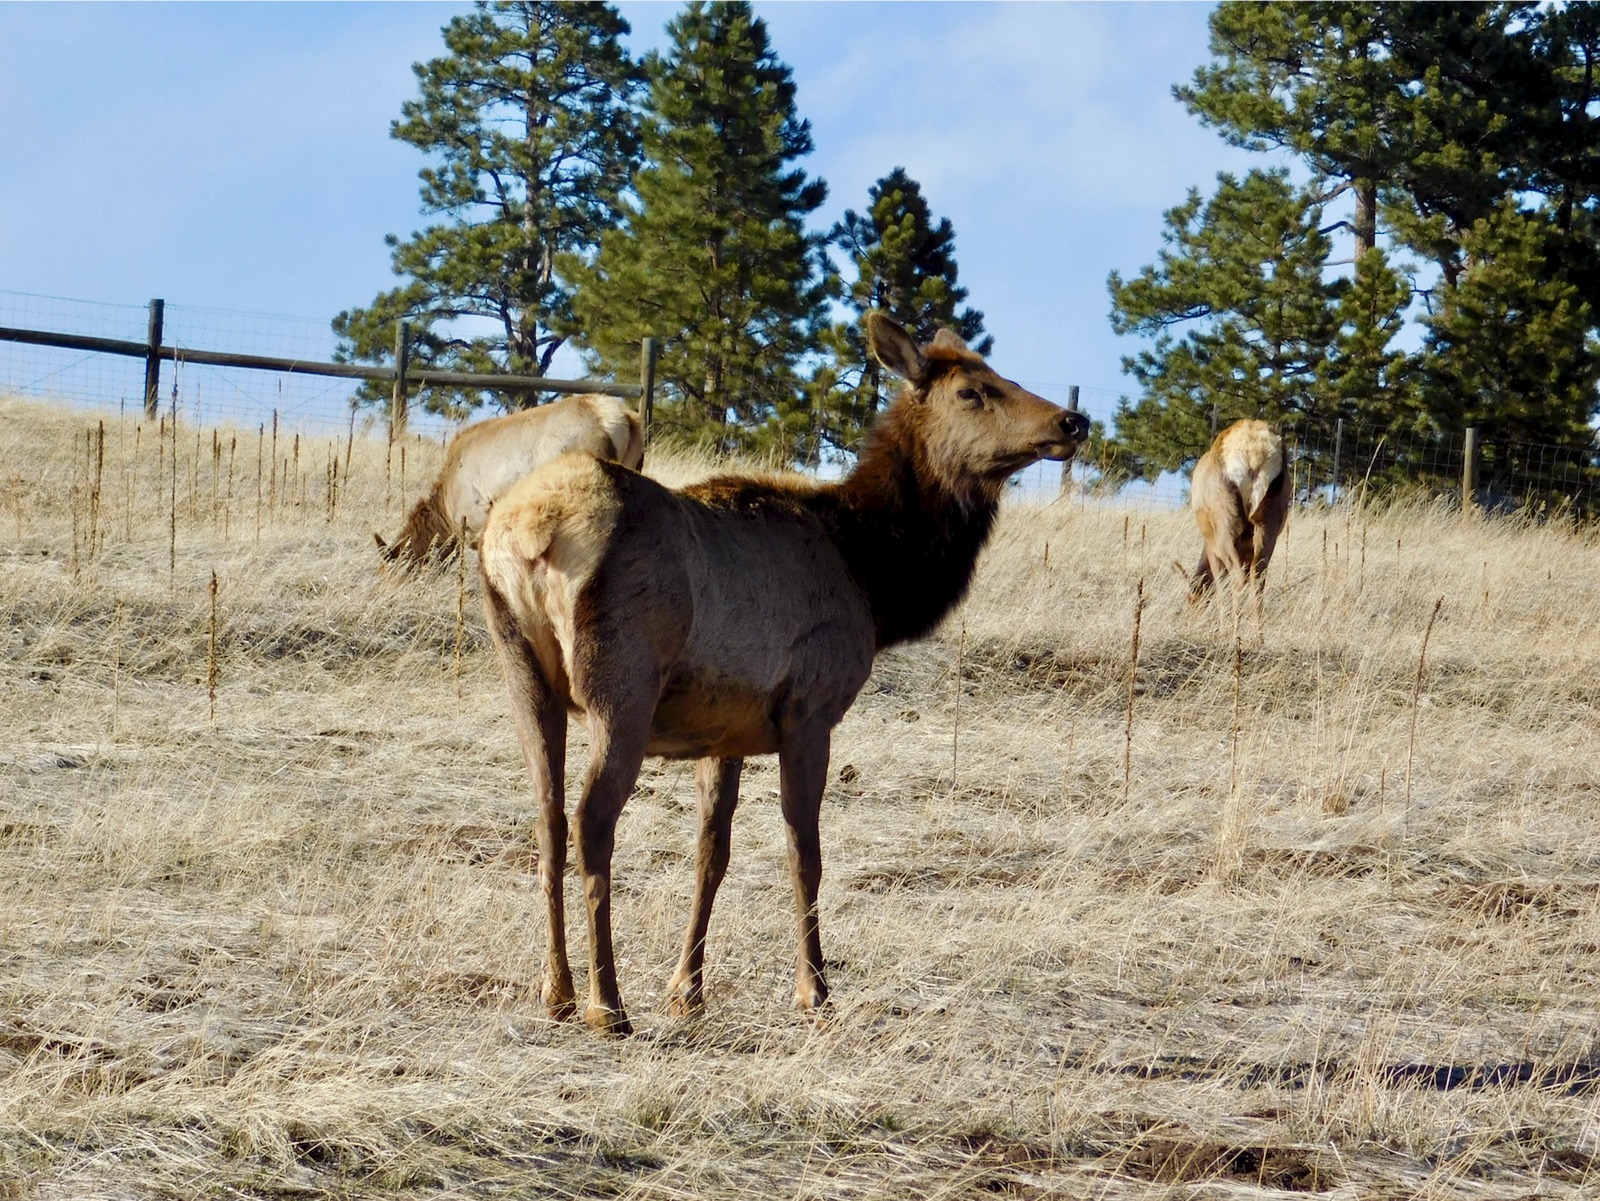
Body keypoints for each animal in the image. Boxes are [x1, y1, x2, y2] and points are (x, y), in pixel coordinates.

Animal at [477, 313, 1089, 1035]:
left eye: (1004, 374)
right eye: (973, 389)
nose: (1073, 421)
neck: (875, 580)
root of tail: (528, 534)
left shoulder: (725, 730)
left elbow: (712, 854)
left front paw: (688, 989)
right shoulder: (809, 710)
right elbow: (806, 853)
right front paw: (815, 990)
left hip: (523, 673)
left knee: (546, 818)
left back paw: (558, 991)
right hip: (620, 683)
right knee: (591, 820)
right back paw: (608, 1003)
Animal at [1187, 418, 1289, 603]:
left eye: (1192, 601)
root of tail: (1253, 454)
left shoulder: (1212, 547)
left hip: (1227, 523)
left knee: (1237, 577)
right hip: (1268, 520)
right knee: (1258, 578)